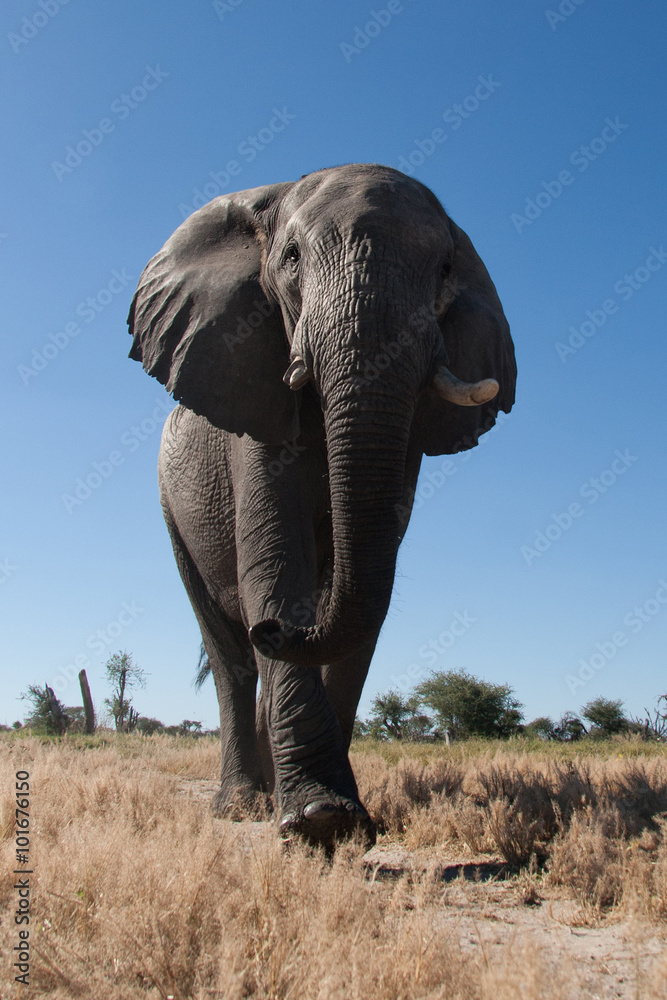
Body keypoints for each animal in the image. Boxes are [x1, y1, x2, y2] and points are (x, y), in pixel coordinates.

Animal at [128, 163, 516, 847]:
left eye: (446, 269)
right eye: (290, 257)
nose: (277, 628)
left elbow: (366, 586)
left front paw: (339, 821)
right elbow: (276, 562)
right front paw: (315, 820)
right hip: (171, 507)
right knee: (227, 653)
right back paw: (240, 806)